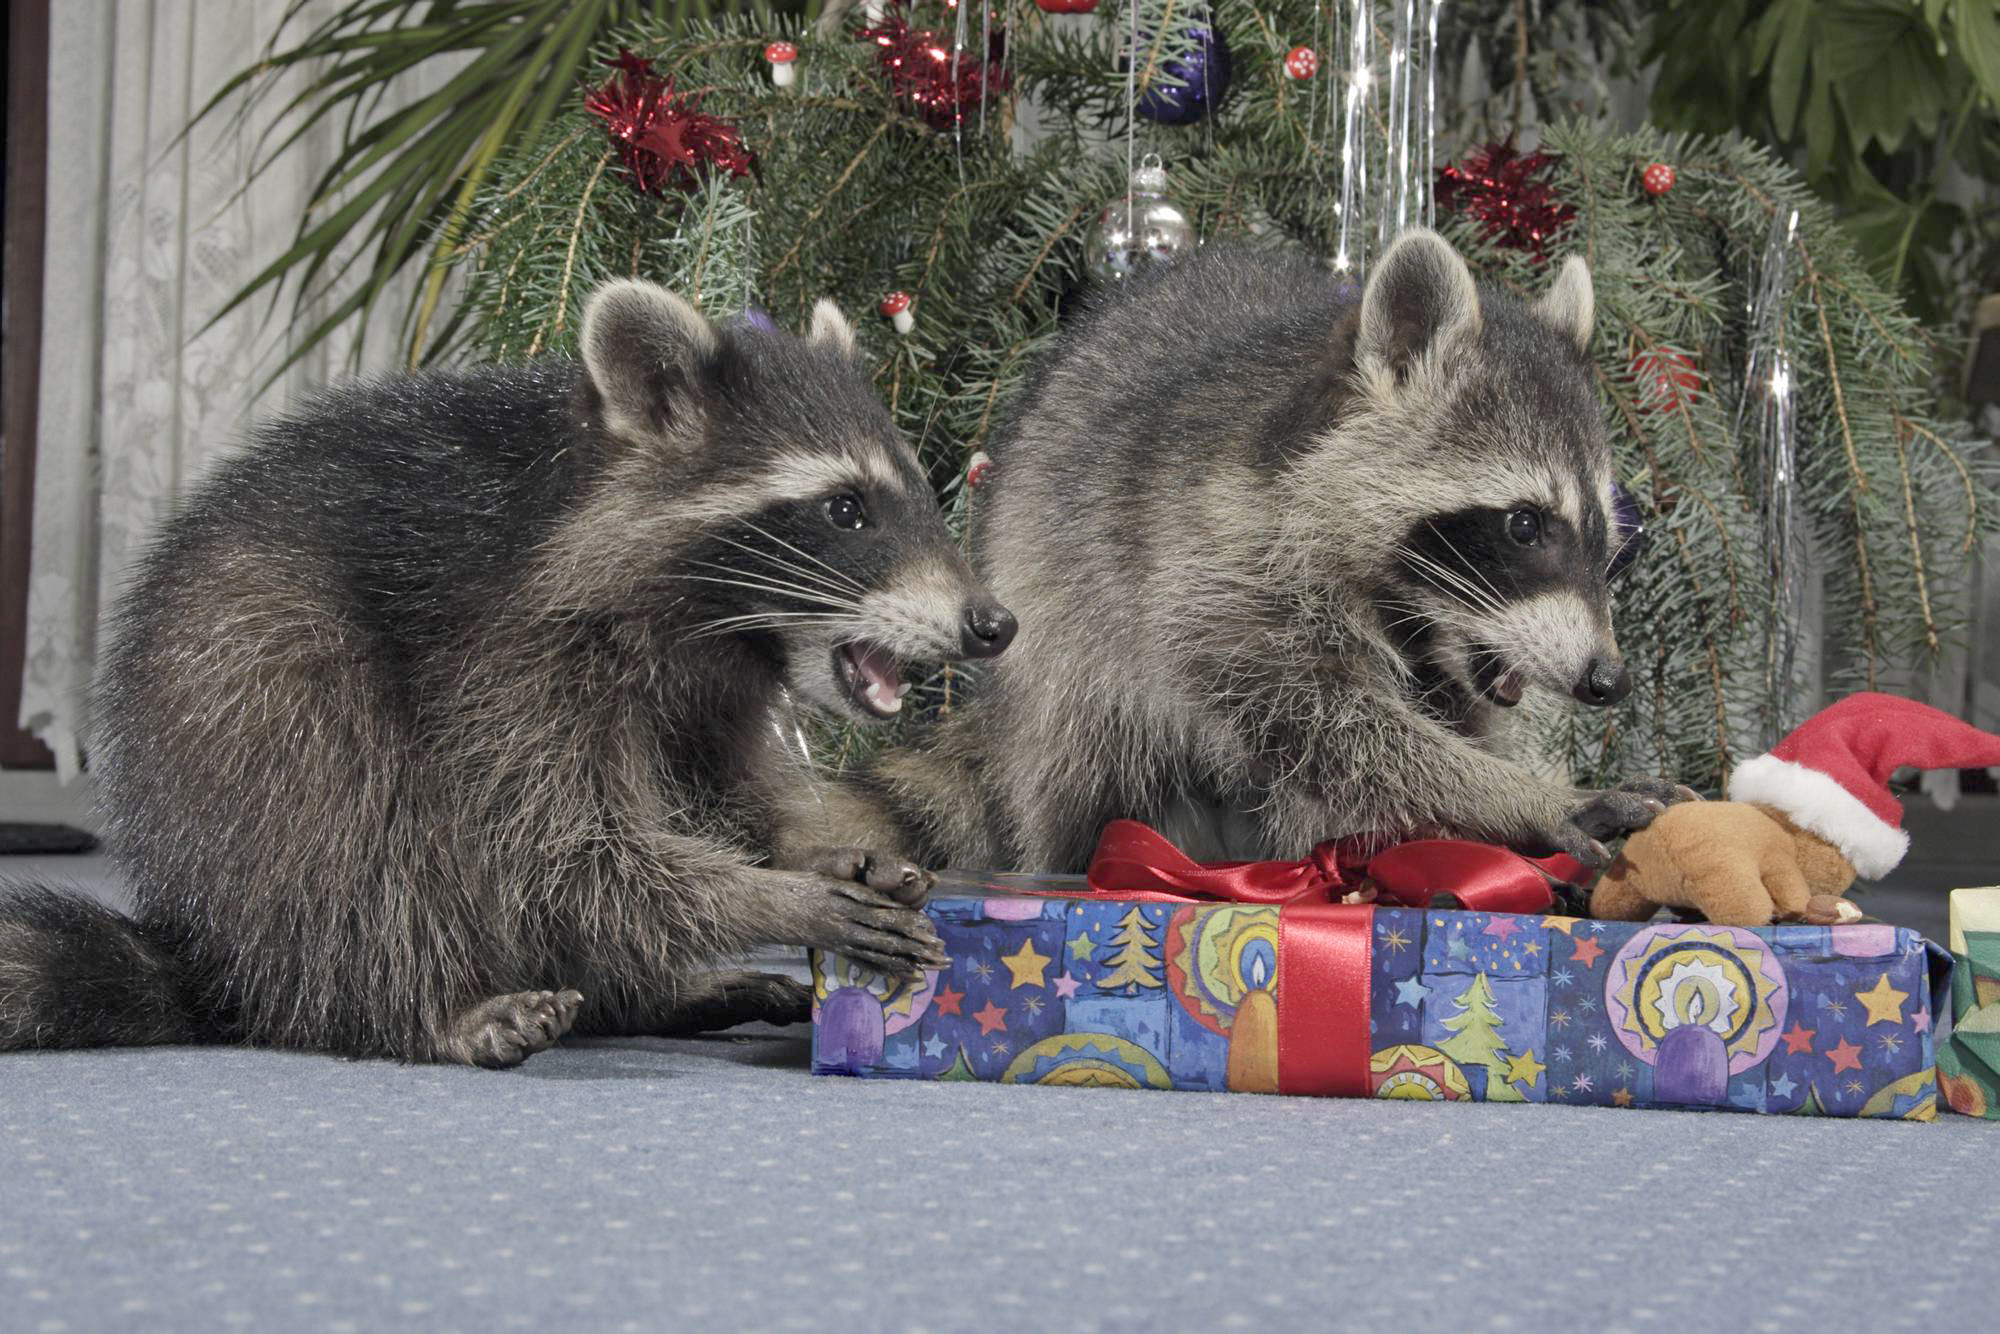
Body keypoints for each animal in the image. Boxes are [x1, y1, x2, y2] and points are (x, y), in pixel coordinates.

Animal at [3, 280, 1016, 1064]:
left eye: (920, 496)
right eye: (845, 510)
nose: (994, 624)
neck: (722, 627)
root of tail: (212, 958)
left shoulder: (711, 682)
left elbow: (720, 781)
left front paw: (803, 847)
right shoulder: (506, 654)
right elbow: (562, 848)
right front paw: (774, 894)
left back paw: (641, 997)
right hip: (242, 692)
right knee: (352, 834)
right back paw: (422, 1007)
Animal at [872, 230, 1688, 876]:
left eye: (1615, 544)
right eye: (1524, 526)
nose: (1608, 680)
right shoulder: (1206, 560)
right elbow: (1324, 724)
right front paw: (1516, 796)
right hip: (1059, 638)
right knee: (1084, 765)